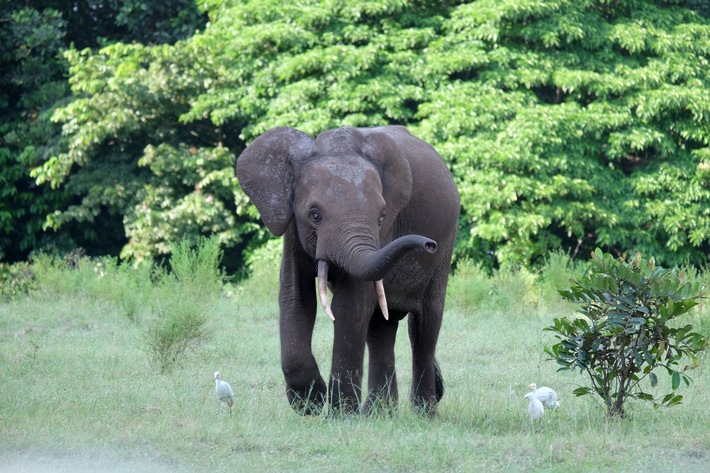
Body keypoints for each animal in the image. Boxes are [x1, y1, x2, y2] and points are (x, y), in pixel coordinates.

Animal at [238, 125, 462, 416]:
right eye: (314, 215)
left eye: (381, 216)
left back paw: (423, 415)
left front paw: (339, 414)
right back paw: (378, 414)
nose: (428, 244)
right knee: (380, 329)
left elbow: (350, 305)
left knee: (424, 326)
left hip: (446, 246)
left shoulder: (383, 234)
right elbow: (295, 297)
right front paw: (311, 403)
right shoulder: (292, 227)